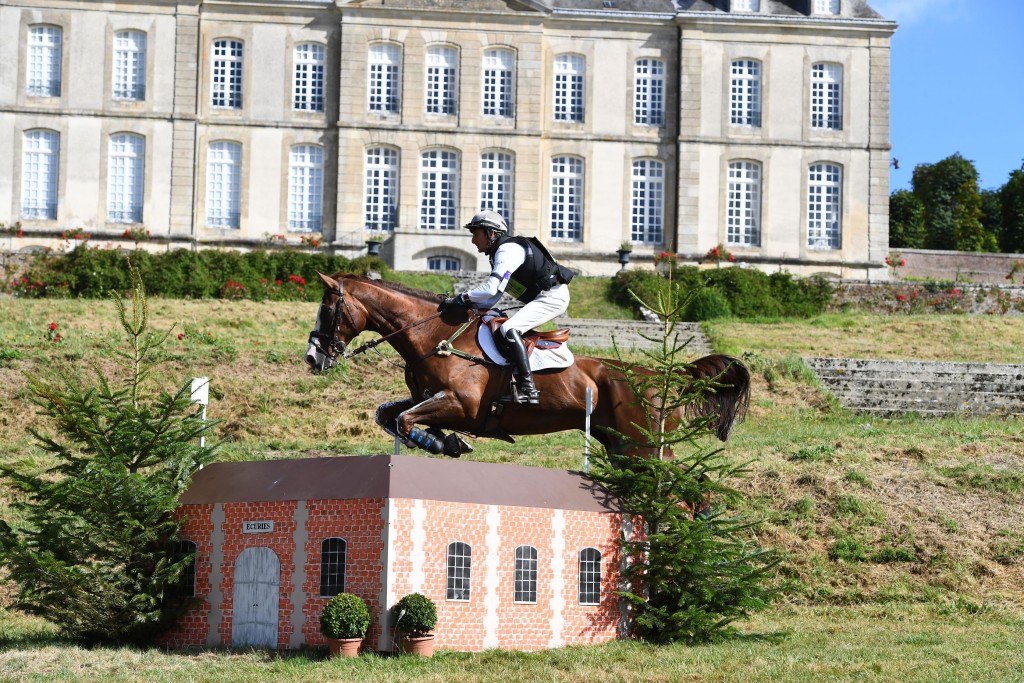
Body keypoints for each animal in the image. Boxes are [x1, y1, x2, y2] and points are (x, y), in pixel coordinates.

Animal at [303, 272, 753, 458]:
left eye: (328, 310)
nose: (313, 358)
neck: (432, 338)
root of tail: (665, 376)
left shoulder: (460, 403)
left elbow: (405, 420)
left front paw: (443, 442)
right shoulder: (430, 398)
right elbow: (390, 415)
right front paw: (443, 441)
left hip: (642, 446)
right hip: (623, 447)